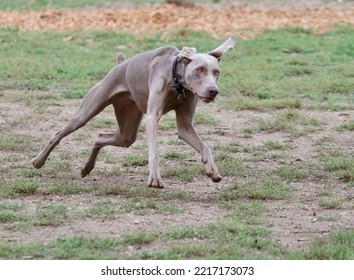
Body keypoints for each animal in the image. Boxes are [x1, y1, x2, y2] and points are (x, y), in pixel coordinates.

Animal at [31, 35, 236, 188]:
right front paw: (155, 178)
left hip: (127, 130)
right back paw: (38, 161)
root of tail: (121, 63)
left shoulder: (185, 127)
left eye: (217, 72)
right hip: (87, 112)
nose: (213, 91)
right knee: (59, 133)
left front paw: (212, 170)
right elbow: (154, 150)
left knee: (101, 137)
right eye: (199, 69)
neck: (177, 84)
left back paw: (87, 168)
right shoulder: (152, 118)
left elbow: (205, 146)